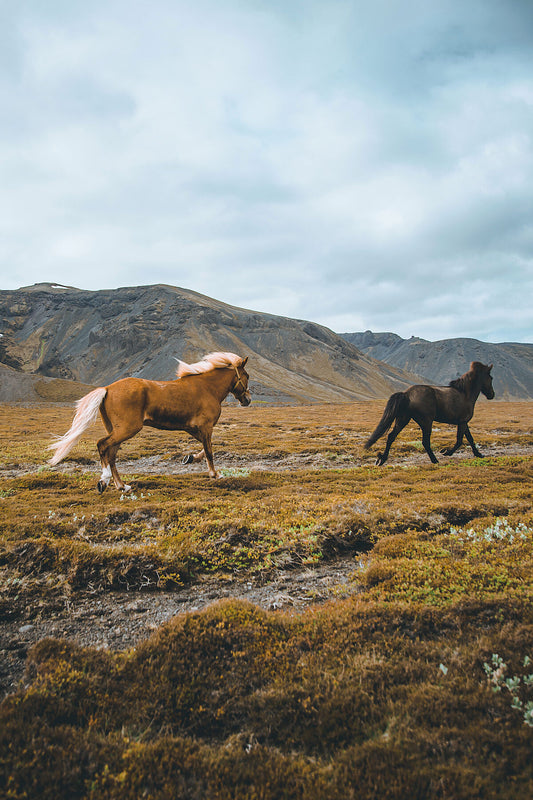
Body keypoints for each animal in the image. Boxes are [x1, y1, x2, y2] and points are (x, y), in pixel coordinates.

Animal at [48, 352, 251, 492]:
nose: (247, 400)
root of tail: (107, 388)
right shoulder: (205, 427)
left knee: (111, 454)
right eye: (247, 376)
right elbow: (209, 451)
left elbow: (204, 447)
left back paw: (122, 486)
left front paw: (190, 458)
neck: (208, 388)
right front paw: (215, 474)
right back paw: (103, 482)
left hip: (117, 430)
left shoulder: (193, 428)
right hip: (127, 429)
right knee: (102, 445)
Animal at [364, 361, 494, 466]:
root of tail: (407, 394)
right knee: (425, 442)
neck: (465, 394)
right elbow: (460, 441)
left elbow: (470, 438)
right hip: (426, 422)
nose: (492, 395)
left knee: (391, 436)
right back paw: (435, 460)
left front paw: (479, 454)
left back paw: (382, 460)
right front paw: (446, 452)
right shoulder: (462, 422)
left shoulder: (463, 422)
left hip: (403, 419)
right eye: (491, 378)